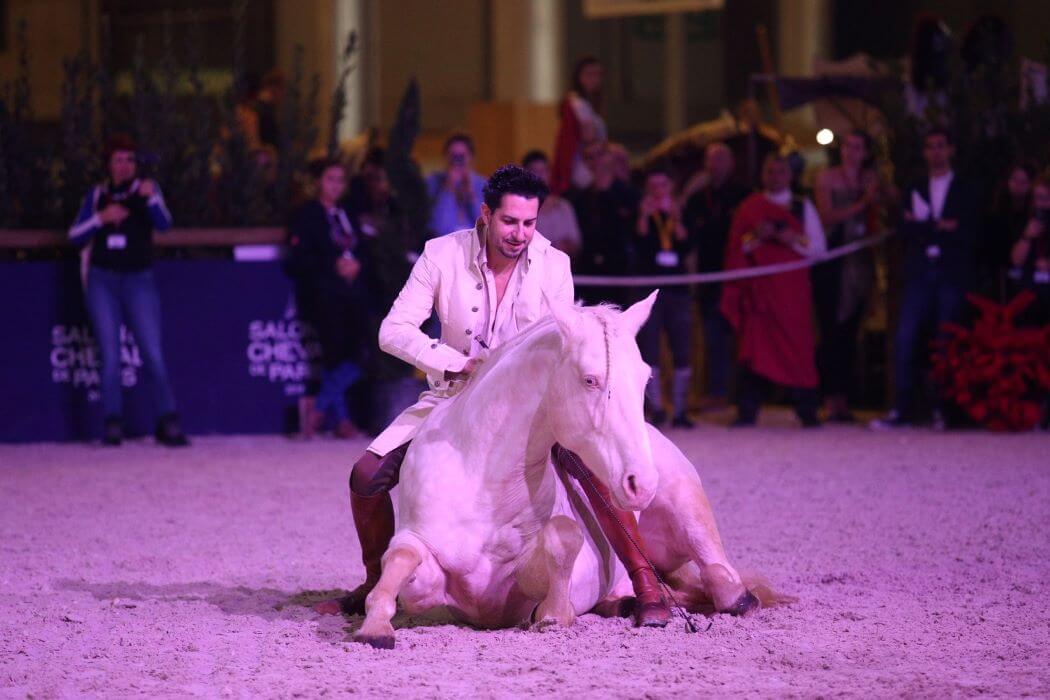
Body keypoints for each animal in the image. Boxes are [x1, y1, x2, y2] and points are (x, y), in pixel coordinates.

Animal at [356, 293, 768, 650]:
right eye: (589, 379)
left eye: (645, 378)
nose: (643, 483)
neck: (483, 486)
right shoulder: (422, 558)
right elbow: (399, 561)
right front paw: (375, 624)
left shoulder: (523, 588)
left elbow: (564, 536)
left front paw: (556, 613)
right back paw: (625, 602)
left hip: (685, 503)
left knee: (716, 568)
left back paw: (686, 600)